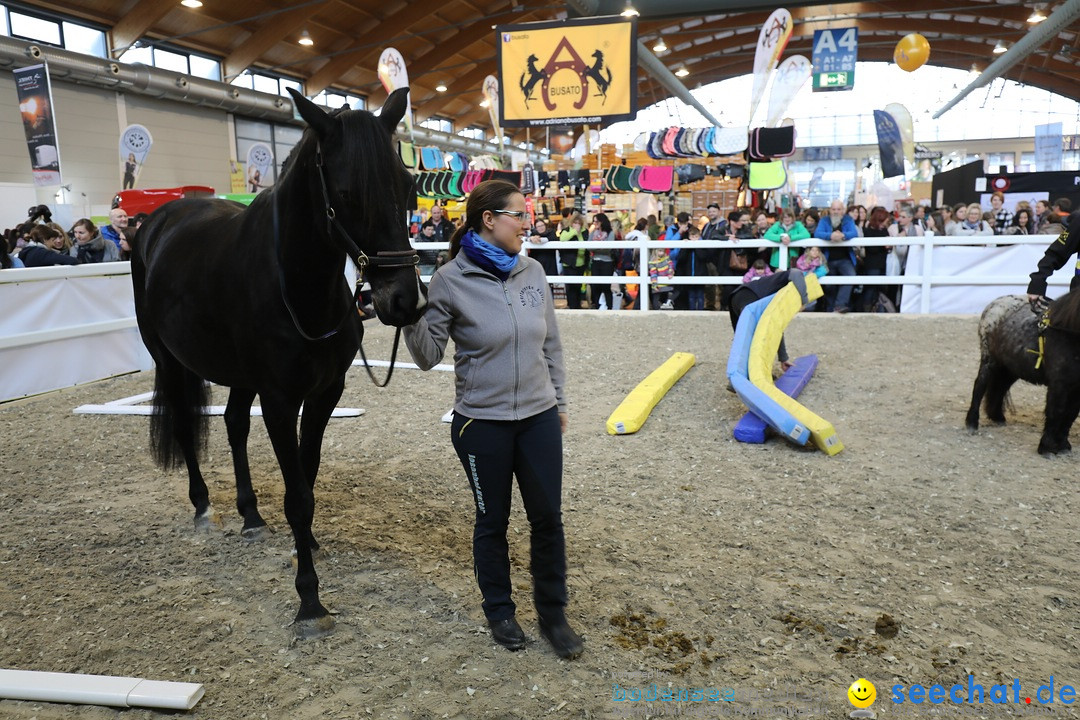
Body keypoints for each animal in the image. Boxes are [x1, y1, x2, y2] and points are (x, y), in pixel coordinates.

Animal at [130, 88, 425, 634]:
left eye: (407, 185)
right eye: (347, 192)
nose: (404, 301)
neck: (299, 286)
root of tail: (157, 222)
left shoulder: (324, 394)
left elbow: (305, 479)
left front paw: (303, 543)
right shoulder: (280, 400)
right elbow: (297, 496)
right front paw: (309, 600)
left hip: (240, 376)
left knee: (233, 423)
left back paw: (250, 516)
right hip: (170, 360)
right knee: (184, 425)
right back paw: (203, 507)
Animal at [967, 291, 1080, 455]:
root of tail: (994, 304)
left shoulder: (1076, 387)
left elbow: (1070, 415)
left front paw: (1063, 445)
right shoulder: (1058, 383)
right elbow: (1055, 412)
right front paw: (1046, 447)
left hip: (1010, 367)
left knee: (999, 387)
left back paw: (997, 417)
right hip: (989, 359)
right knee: (980, 386)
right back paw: (971, 423)